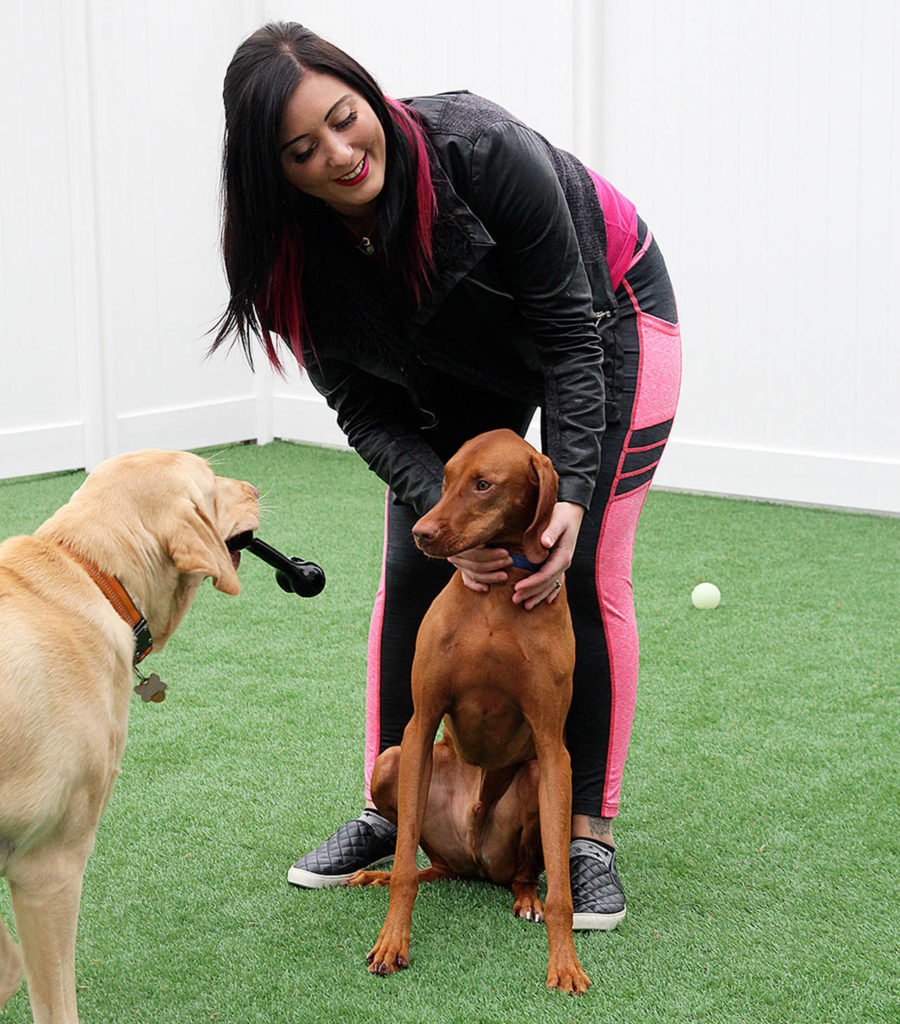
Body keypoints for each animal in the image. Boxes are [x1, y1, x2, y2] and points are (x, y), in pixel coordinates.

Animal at [352, 430, 589, 991]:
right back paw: (376, 874)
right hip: (392, 766)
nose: (421, 532)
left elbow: (561, 891)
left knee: (525, 874)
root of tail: (476, 861)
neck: (496, 600)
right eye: (445, 477)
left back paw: (526, 899)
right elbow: (403, 868)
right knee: (426, 867)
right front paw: (391, 943)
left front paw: (565, 963)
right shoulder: (419, 726)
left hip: (532, 786)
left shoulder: (553, 749)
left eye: (484, 485)